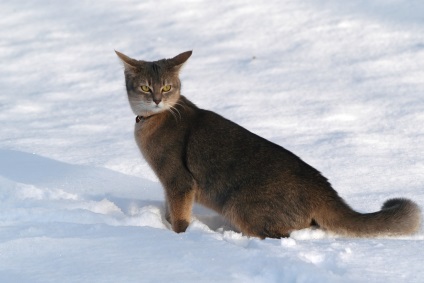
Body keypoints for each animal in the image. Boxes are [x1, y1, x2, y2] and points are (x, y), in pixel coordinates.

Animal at [113, 50, 420, 239]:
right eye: (145, 87)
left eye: (166, 87)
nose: (156, 100)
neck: (153, 120)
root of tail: (323, 189)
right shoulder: (170, 185)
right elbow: (169, 209)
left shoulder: (179, 181)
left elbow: (179, 217)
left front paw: (177, 237)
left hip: (239, 205)